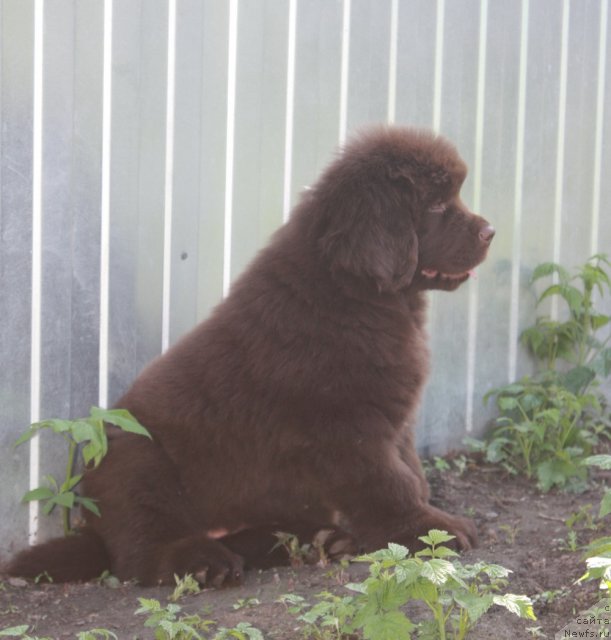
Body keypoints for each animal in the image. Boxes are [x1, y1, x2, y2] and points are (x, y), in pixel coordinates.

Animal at [7, 124, 494, 584]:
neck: (357, 293)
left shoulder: (394, 418)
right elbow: (391, 481)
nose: (490, 231)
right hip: (136, 461)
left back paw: (321, 539)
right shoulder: (346, 426)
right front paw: (431, 530)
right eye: (436, 206)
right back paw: (206, 562)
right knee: (143, 550)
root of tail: (93, 529)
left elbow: (412, 471)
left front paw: (427, 523)